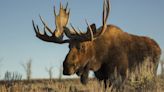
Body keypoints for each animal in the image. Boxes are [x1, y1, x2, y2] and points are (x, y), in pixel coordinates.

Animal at [32, 0, 161, 88]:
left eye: (82, 46)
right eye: (68, 46)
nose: (66, 67)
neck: (99, 60)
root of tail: (159, 47)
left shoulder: (120, 77)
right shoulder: (101, 78)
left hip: (151, 73)